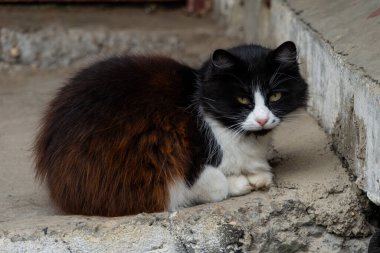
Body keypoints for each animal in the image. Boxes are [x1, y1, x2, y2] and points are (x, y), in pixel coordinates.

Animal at [34, 41, 308, 215]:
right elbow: (216, 184)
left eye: (275, 96)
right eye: (242, 99)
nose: (262, 120)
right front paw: (240, 183)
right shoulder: (167, 167)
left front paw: (258, 176)